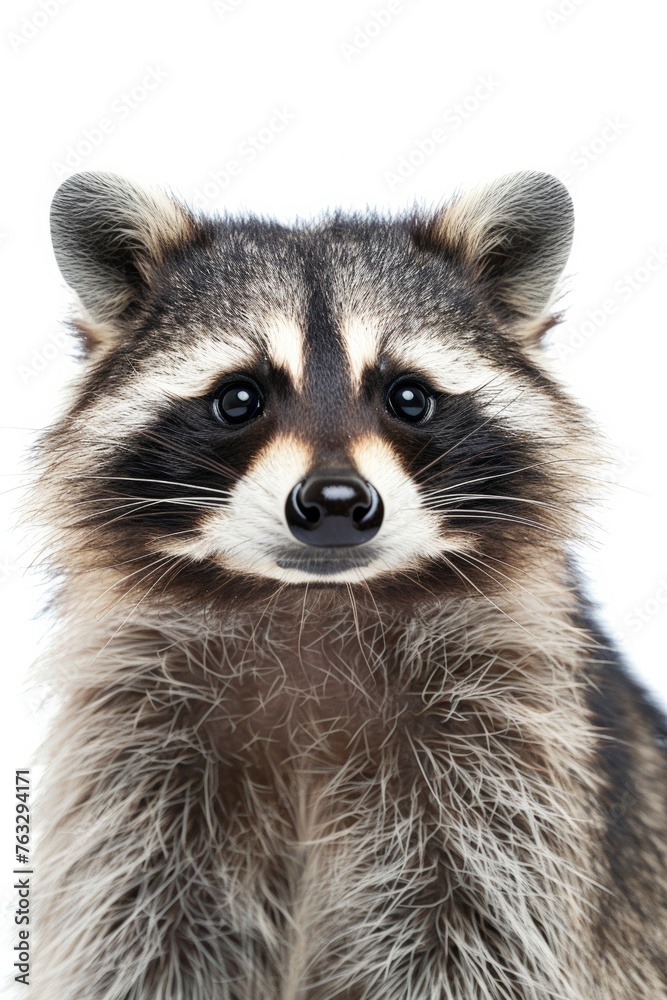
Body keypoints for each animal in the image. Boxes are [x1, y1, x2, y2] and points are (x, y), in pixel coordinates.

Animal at [23, 172, 664, 1000]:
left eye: (407, 396)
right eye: (238, 398)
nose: (334, 502)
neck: (313, 603)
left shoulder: (514, 763)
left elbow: (475, 937)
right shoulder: (131, 764)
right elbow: (139, 935)